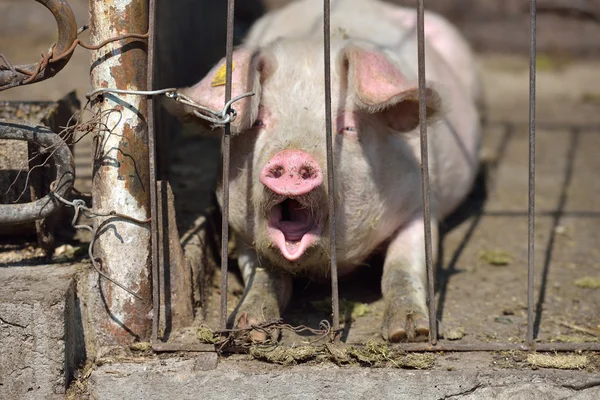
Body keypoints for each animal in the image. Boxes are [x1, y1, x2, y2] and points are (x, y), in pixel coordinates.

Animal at [171, 0, 480, 344]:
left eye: (347, 126)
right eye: (260, 121)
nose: (293, 157)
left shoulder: (420, 204)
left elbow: (402, 266)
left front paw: (409, 332)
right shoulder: (240, 228)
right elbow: (264, 274)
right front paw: (251, 328)